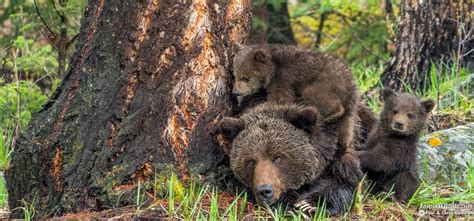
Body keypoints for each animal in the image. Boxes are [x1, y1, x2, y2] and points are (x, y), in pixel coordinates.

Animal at [220, 102, 362, 215]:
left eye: (278, 158)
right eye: (251, 161)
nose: (264, 191)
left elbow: (343, 182)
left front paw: (308, 204)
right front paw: (288, 201)